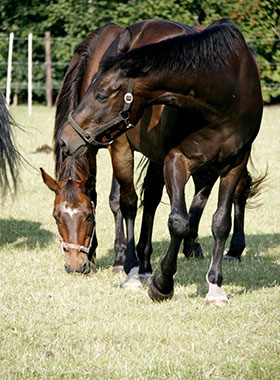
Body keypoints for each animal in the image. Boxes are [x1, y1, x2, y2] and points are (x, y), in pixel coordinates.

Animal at [58, 20, 264, 306]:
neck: (224, 95)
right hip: (121, 147)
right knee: (130, 203)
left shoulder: (235, 162)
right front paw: (163, 283)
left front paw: (214, 285)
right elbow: (177, 221)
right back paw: (134, 269)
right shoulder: (176, 160)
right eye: (56, 217)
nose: (65, 137)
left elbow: (220, 222)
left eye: (101, 94)